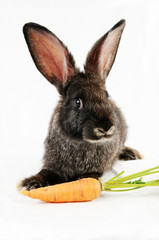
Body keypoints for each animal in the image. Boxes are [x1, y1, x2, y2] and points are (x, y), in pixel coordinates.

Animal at [19, 19, 142, 190]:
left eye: (106, 95)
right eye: (78, 102)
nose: (105, 127)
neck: (80, 141)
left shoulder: (97, 168)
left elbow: (89, 177)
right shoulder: (54, 165)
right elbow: (47, 172)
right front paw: (31, 183)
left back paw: (130, 154)